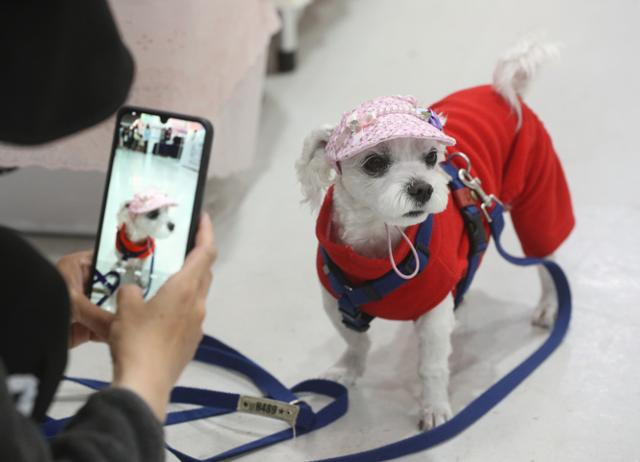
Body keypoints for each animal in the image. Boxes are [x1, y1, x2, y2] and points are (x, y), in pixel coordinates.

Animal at [296, 41, 576, 432]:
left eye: (431, 157)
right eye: (374, 163)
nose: (423, 188)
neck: (379, 243)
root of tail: (499, 89)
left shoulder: (432, 318)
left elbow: (430, 367)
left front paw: (433, 407)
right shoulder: (335, 303)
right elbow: (355, 343)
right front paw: (346, 371)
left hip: (539, 195)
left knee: (546, 259)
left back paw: (549, 304)